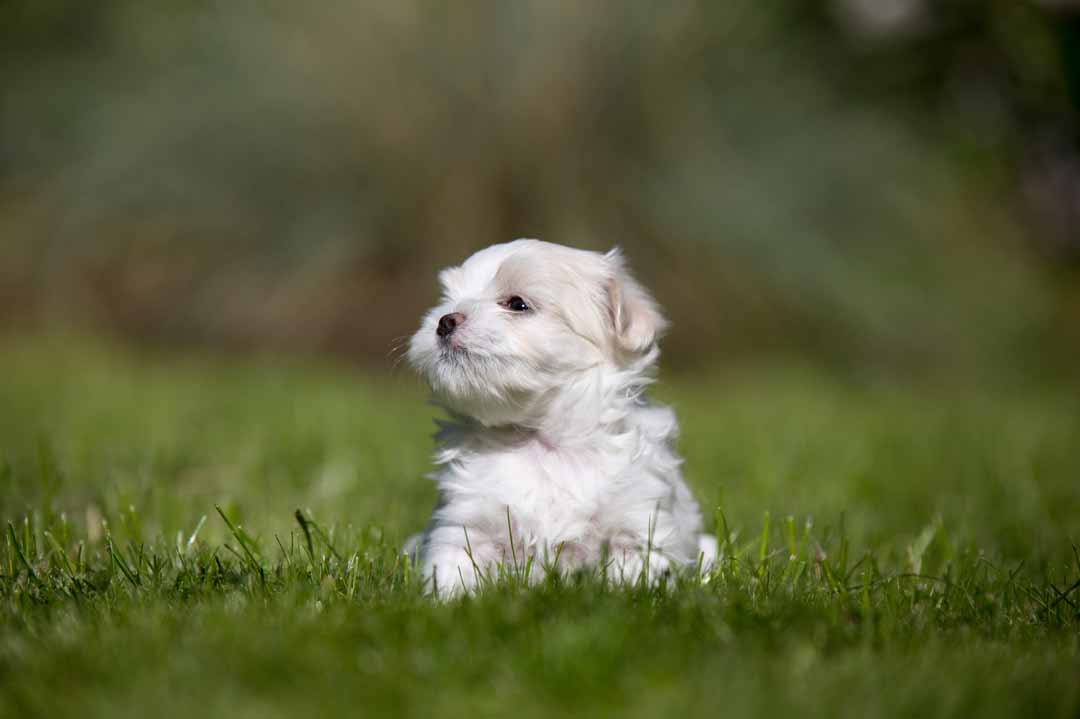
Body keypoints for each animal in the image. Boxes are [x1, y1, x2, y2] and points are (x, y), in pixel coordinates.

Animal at [406, 237, 717, 595]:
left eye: (517, 304)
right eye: (447, 300)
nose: (445, 320)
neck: (541, 441)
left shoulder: (638, 525)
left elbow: (633, 576)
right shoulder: (466, 524)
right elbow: (454, 570)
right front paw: (450, 599)